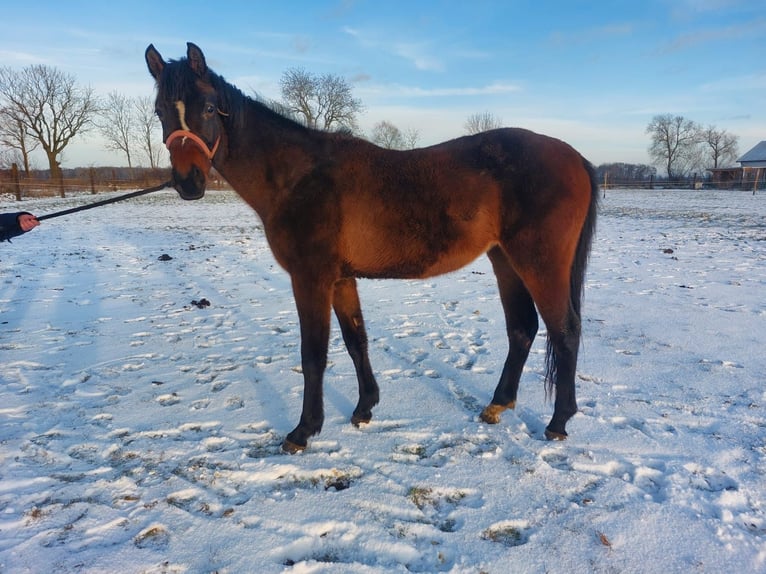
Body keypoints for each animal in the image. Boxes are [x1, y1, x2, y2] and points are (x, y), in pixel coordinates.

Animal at [146, 41, 600, 454]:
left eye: (208, 108)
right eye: (160, 111)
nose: (188, 182)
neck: (299, 176)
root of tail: (575, 158)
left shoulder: (311, 278)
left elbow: (313, 354)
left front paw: (304, 431)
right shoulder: (341, 279)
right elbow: (355, 339)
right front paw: (365, 408)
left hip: (539, 263)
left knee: (565, 330)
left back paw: (558, 422)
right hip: (505, 259)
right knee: (522, 328)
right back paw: (498, 405)